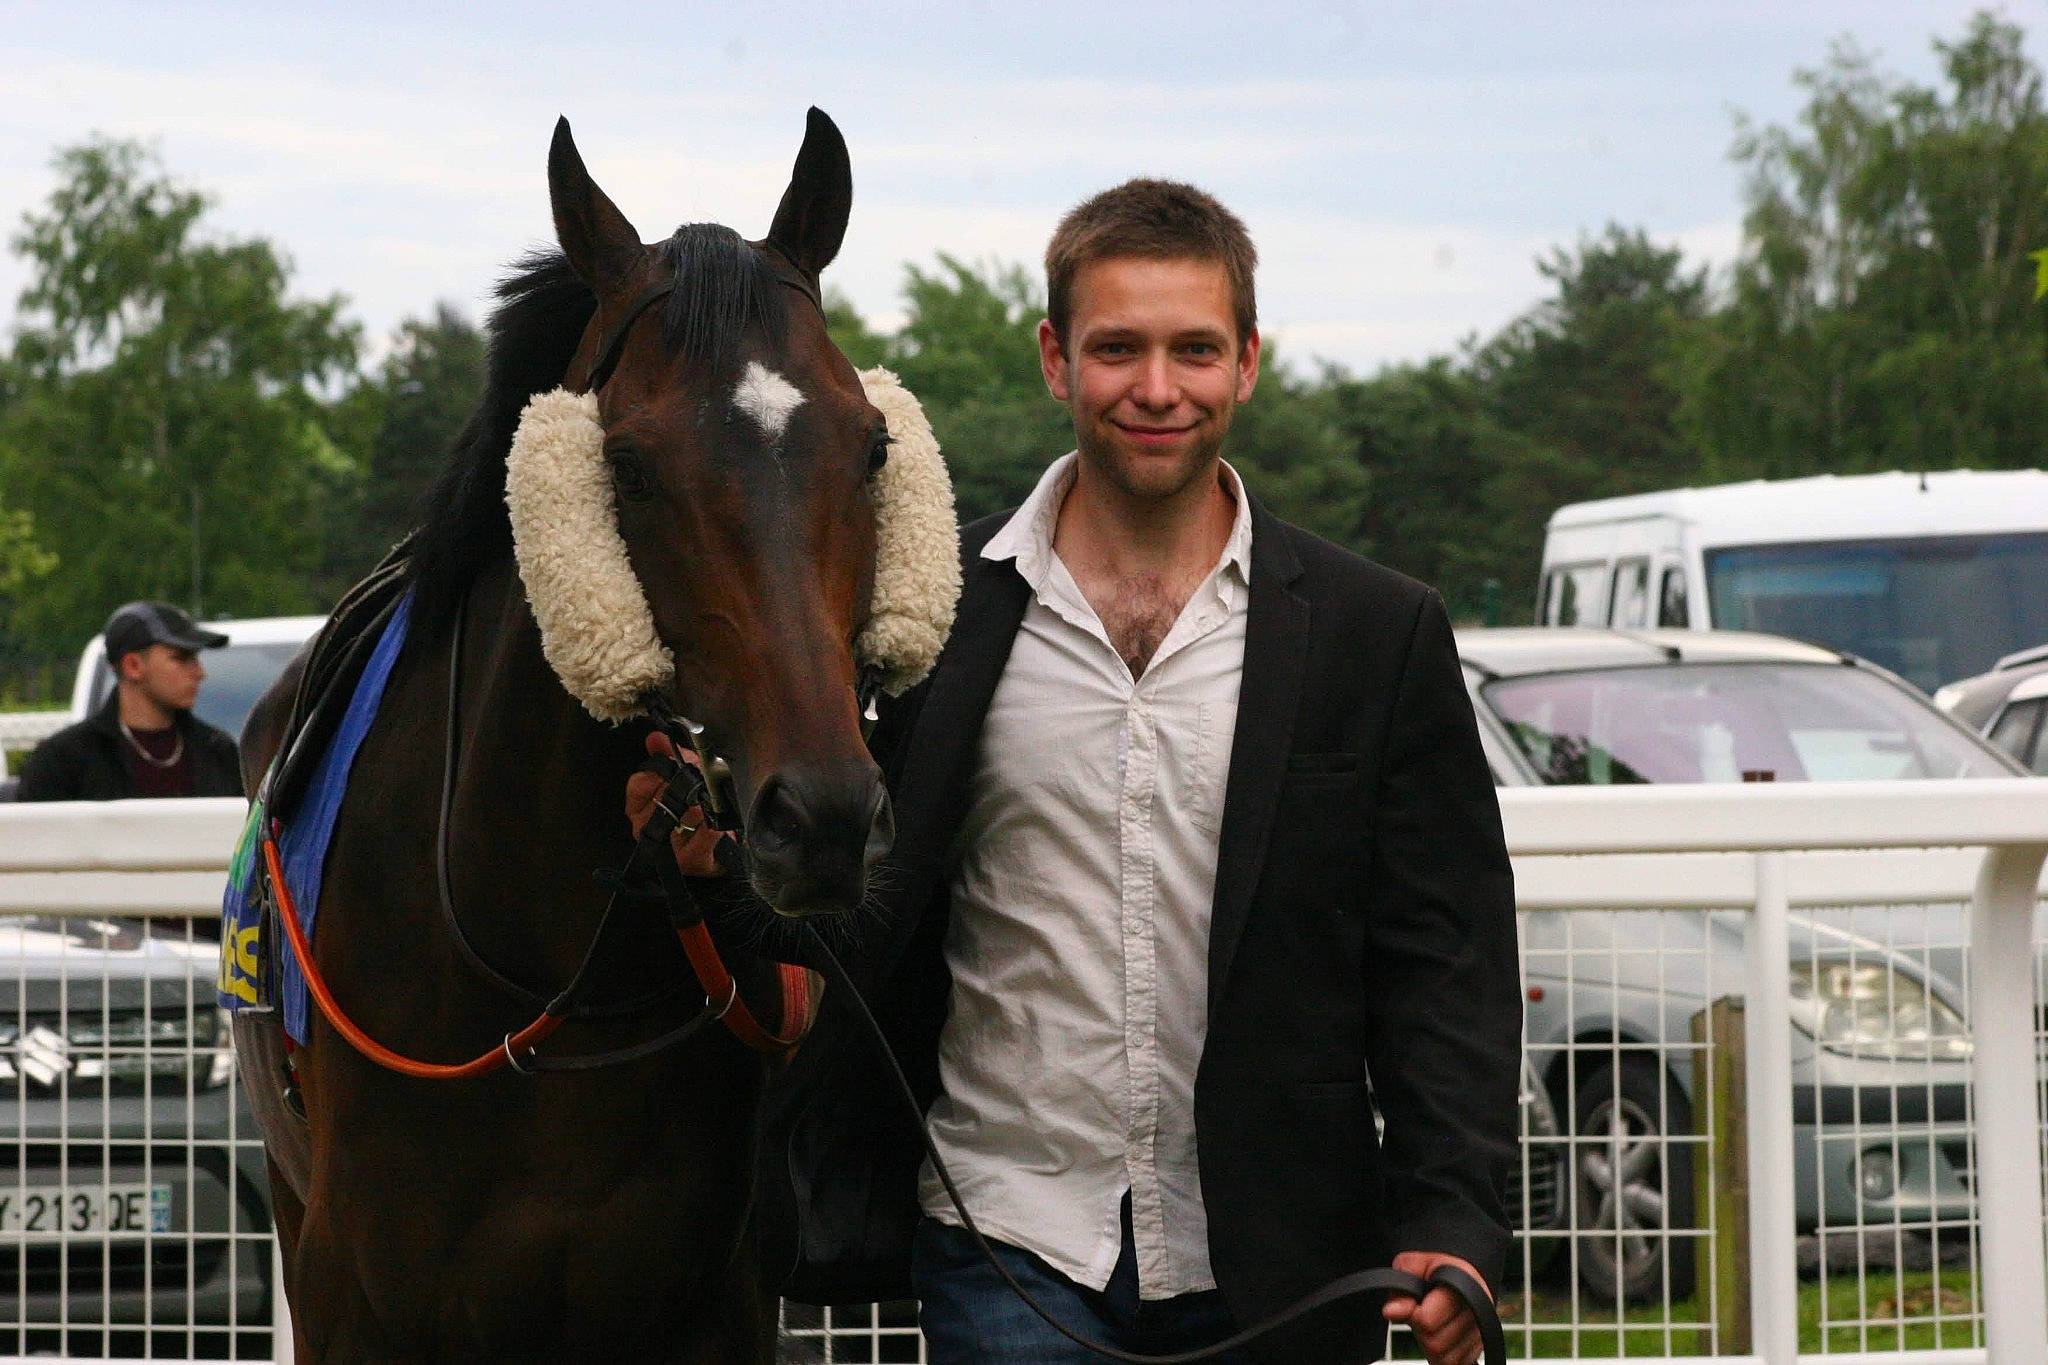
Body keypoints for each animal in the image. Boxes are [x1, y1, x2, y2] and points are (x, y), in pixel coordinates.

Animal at [235, 110, 901, 1363]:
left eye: (873, 444)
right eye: (626, 463)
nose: (823, 817)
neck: (547, 988)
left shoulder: (711, 1302)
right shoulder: (354, 1293)